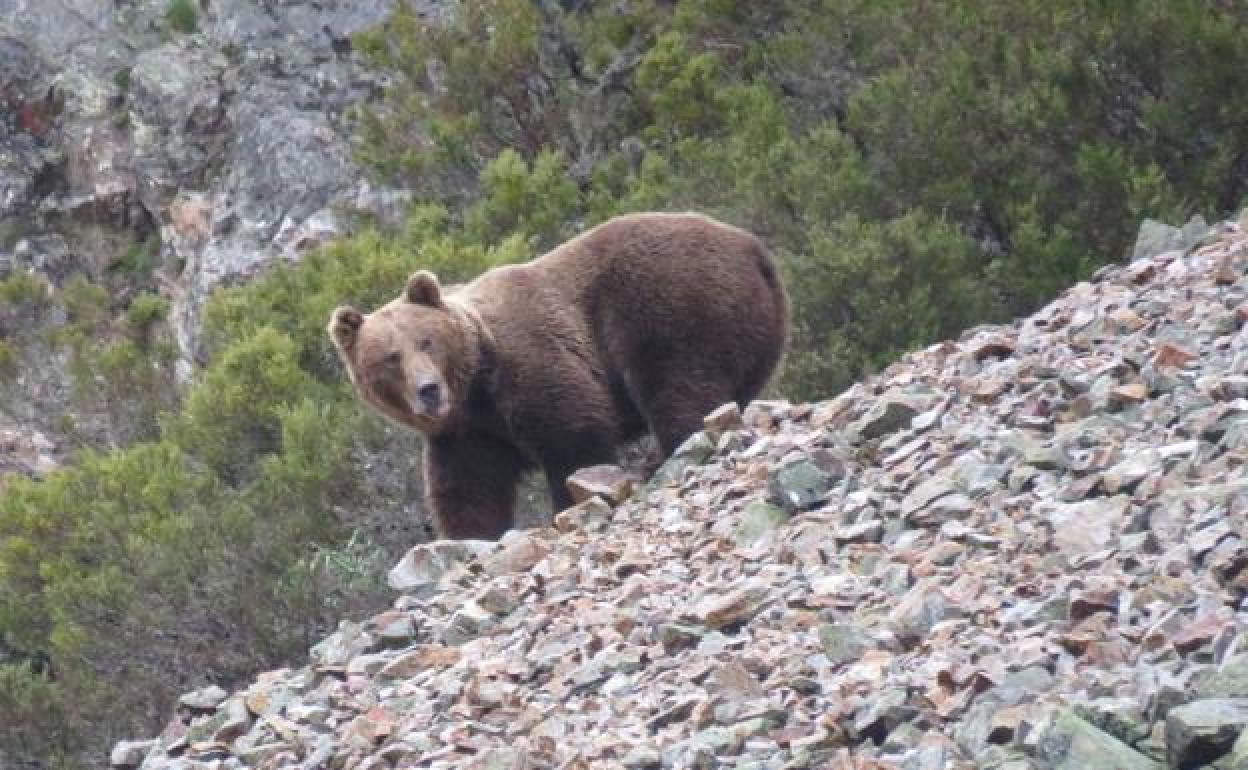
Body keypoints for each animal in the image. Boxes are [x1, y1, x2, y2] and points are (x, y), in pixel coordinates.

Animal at [328, 212, 788, 540]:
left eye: (426, 341)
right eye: (390, 357)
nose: (428, 390)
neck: (476, 388)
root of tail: (753, 248)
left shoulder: (531, 363)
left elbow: (574, 437)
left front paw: (571, 503)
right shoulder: (466, 434)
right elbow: (468, 491)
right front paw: (471, 536)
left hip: (671, 304)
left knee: (680, 387)